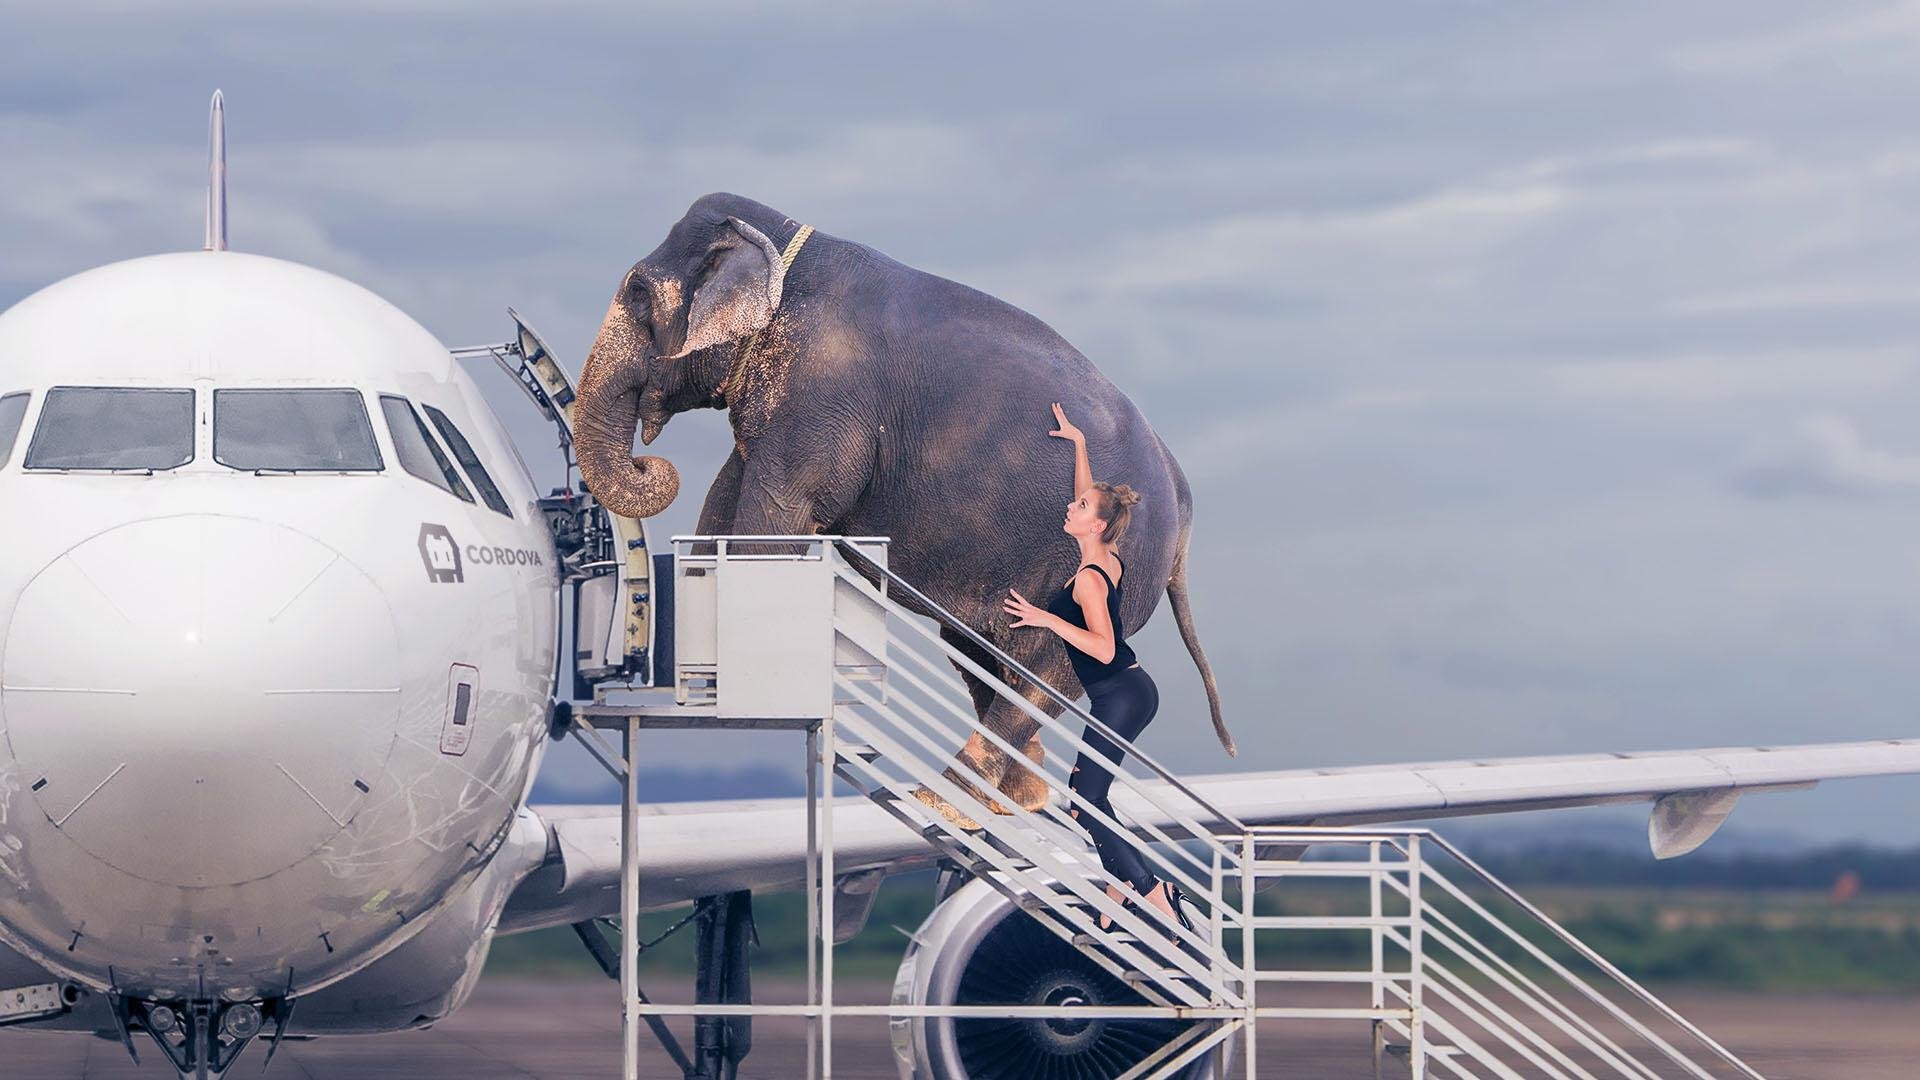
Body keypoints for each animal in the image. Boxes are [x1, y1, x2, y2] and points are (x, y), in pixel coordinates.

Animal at [568, 195, 1228, 822]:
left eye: (637, 293)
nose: (651, 462)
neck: (785, 243)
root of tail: (1184, 506)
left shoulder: (824, 400)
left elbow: (776, 513)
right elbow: (726, 495)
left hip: (1109, 571)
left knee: (1039, 673)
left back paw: (946, 802)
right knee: (981, 652)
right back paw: (1016, 798)